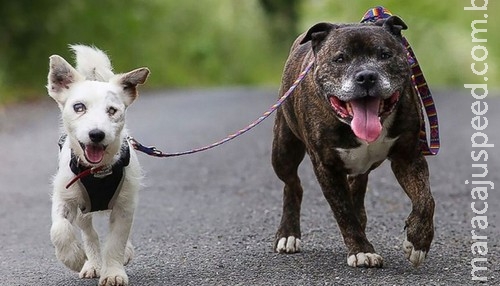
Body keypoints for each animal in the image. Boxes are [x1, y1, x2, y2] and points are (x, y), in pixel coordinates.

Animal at [46, 44, 148, 286]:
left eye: (112, 110)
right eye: (79, 107)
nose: (96, 134)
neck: (98, 171)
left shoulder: (124, 206)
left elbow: (116, 241)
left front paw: (113, 273)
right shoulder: (64, 197)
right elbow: (59, 229)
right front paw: (73, 258)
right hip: (83, 210)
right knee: (89, 233)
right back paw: (91, 263)